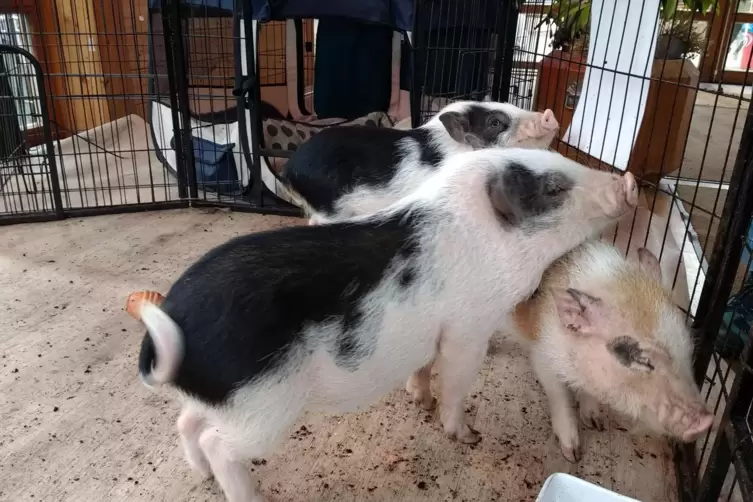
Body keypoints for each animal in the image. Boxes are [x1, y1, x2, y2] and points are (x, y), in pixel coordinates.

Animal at [137, 147, 637, 502]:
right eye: (552, 188)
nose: (628, 182)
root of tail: (175, 322)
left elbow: (424, 366)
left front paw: (420, 400)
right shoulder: (469, 328)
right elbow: (457, 381)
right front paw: (467, 436)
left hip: (224, 401)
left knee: (188, 422)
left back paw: (200, 474)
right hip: (261, 407)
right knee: (218, 444)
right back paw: (252, 497)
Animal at [511, 240, 714, 463]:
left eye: (687, 347)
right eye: (641, 359)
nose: (708, 420)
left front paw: (596, 423)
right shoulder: (541, 353)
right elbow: (560, 396)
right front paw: (573, 455)